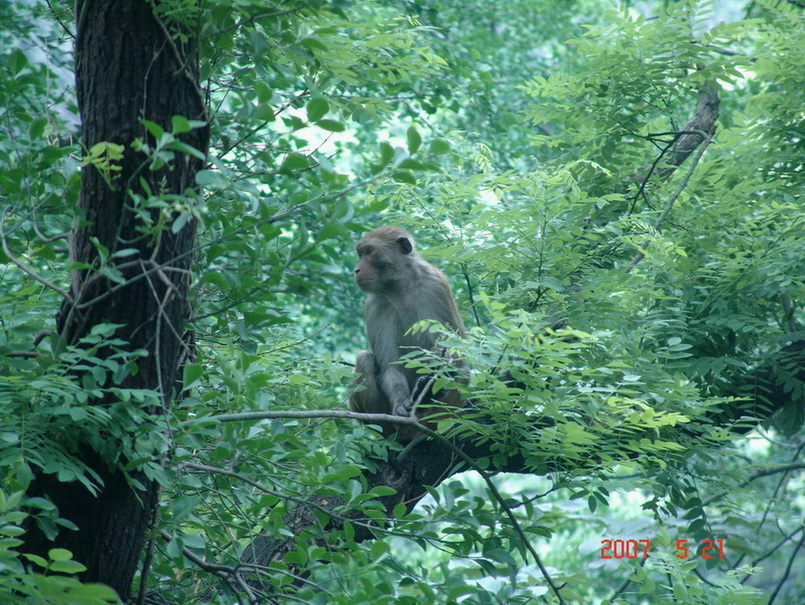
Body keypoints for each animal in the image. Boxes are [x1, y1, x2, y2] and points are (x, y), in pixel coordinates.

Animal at [348, 224, 468, 436]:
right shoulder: (375, 304)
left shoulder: (436, 285)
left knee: (463, 373)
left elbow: (457, 353)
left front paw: (438, 361)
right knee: (364, 358)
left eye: (369, 251)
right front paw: (400, 406)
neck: (400, 287)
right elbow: (391, 367)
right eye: (360, 253)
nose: (357, 270)